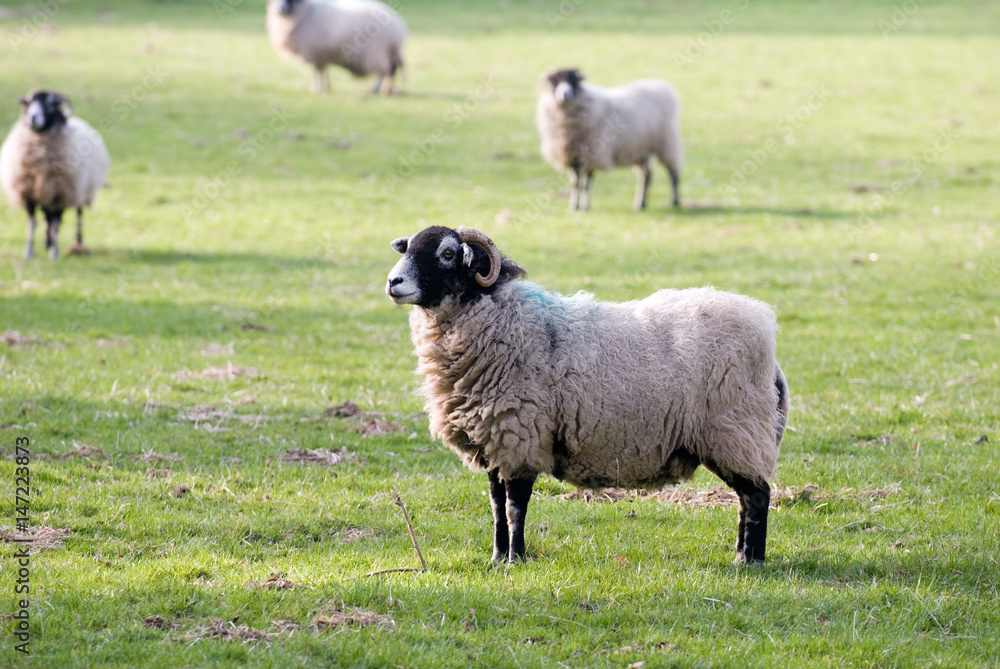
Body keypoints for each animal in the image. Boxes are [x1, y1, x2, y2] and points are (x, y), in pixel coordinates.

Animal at [1, 90, 110, 259]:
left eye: (51, 104)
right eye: (28, 103)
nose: (32, 118)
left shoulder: (62, 194)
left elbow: (57, 224)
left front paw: (55, 252)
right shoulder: (29, 193)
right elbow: (33, 223)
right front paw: (29, 251)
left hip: (81, 190)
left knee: (78, 215)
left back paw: (78, 243)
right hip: (46, 194)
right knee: (48, 217)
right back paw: (47, 242)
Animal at [266, 0, 407, 94]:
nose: (282, 9)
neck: (305, 12)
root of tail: (399, 26)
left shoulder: (315, 51)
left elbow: (317, 71)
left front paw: (316, 89)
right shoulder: (320, 54)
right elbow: (321, 71)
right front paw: (324, 87)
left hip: (377, 51)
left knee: (386, 70)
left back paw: (380, 90)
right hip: (386, 52)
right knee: (390, 69)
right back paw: (381, 89)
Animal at [386, 226, 789, 565]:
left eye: (448, 253)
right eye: (408, 247)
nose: (393, 282)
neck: (506, 324)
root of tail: (767, 339)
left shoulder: (521, 437)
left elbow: (516, 507)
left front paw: (516, 559)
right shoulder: (495, 443)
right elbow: (497, 506)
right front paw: (498, 557)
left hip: (737, 429)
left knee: (757, 495)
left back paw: (750, 561)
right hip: (736, 436)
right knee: (747, 497)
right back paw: (742, 555)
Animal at [536, 68, 683, 211]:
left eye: (574, 80)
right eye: (554, 81)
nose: (565, 95)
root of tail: (661, 85)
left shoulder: (592, 155)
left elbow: (585, 183)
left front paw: (584, 206)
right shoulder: (572, 157)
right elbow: (575, 183)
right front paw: (573, 206)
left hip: (666, 141)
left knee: (673, 172)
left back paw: (675, 201)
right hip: (641, 149)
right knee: (646, 176)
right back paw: (640, 204)